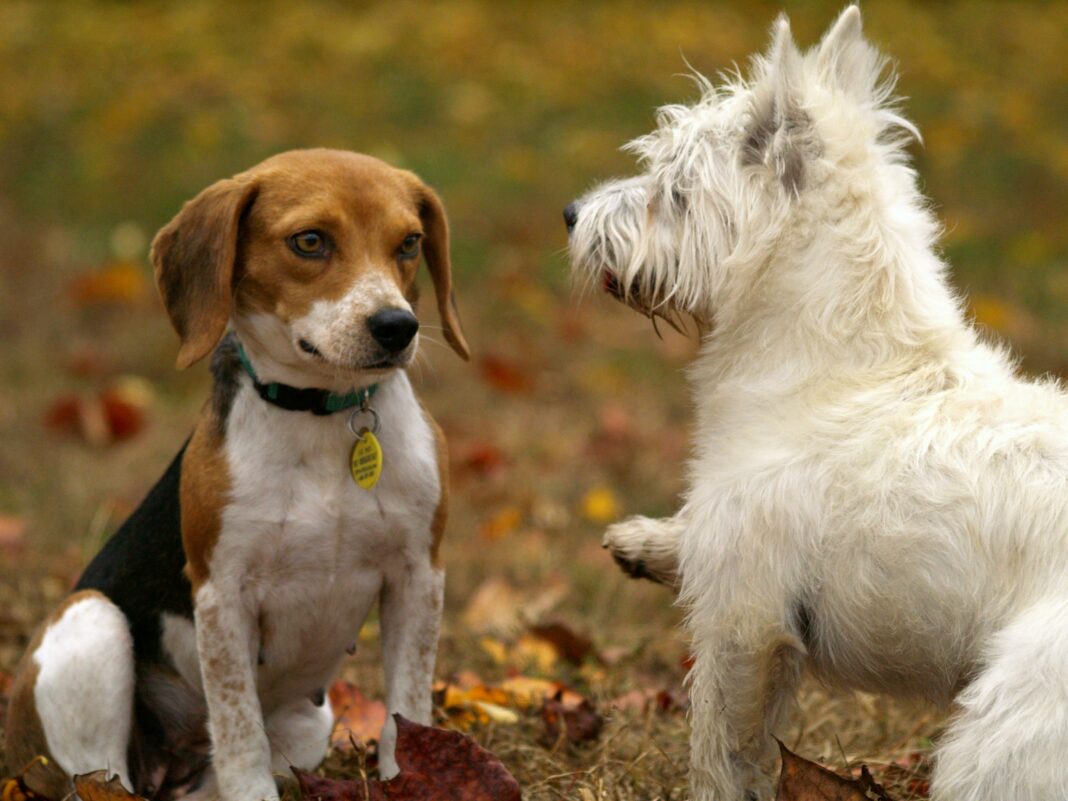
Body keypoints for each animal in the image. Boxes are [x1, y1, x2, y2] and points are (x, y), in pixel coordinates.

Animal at [4, 149, 469, 801]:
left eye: (409, 243)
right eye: (309, 241)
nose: (396, 327)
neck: (323, 418)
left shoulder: (418, 576)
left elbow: (406, 712)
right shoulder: (223, 595)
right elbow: (241, 734)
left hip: (311, 722)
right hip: (91, 623)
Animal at [568, 7, 1068, 801]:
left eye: (673, 189)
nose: (570, 214)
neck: (846, 369)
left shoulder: (745, 618)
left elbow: (720, 750)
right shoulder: (730, 566)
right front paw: (646, 541)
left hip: (1002, 730)